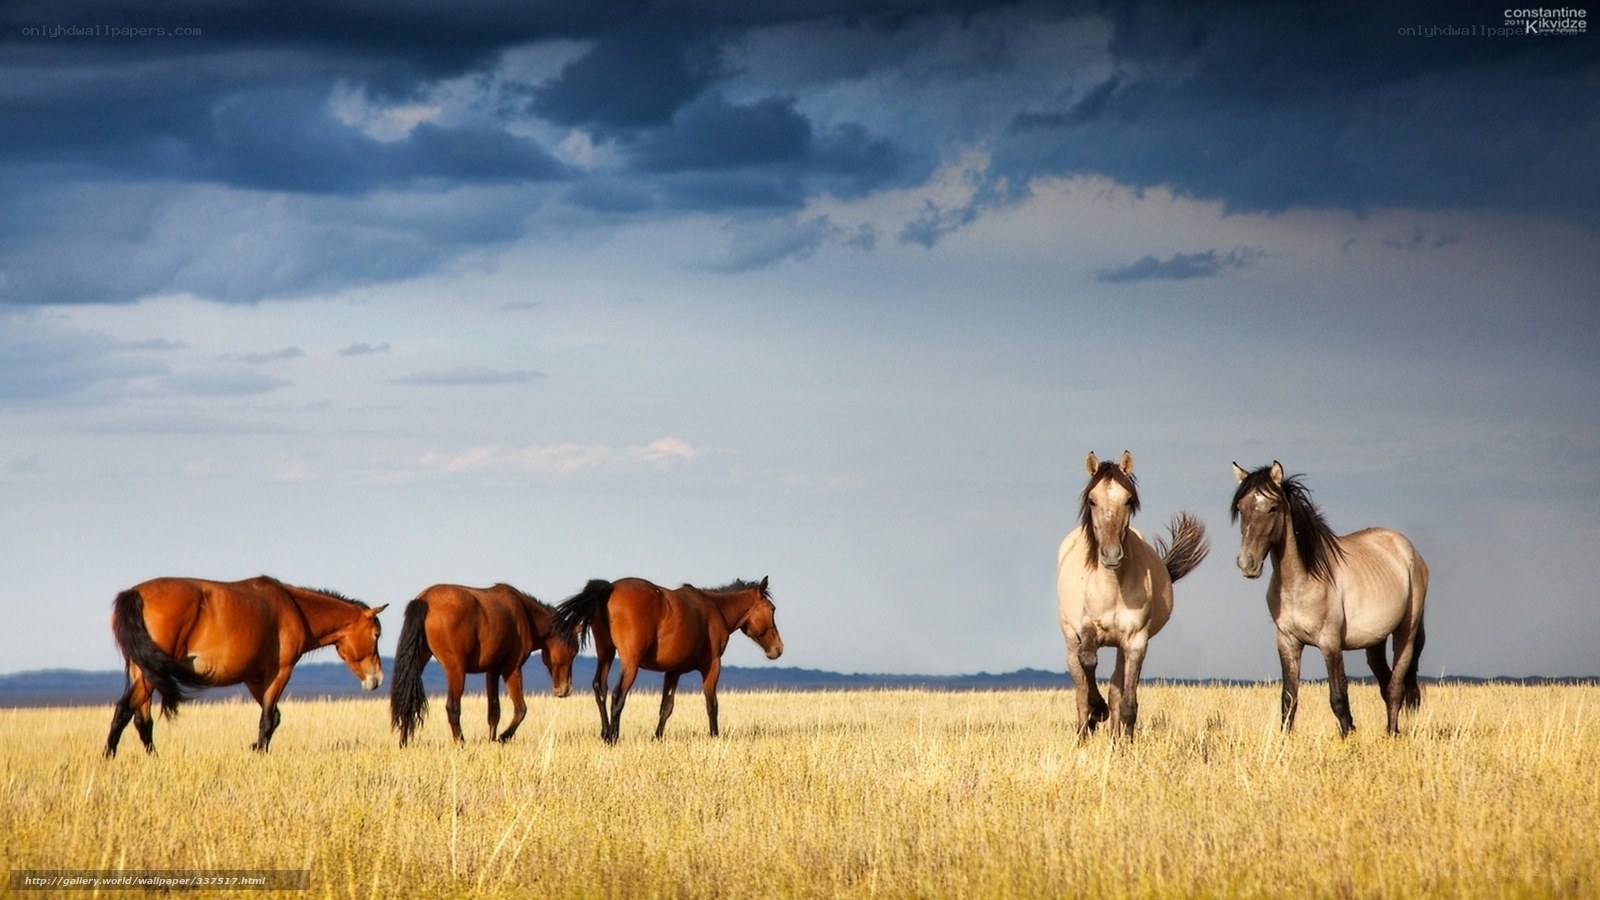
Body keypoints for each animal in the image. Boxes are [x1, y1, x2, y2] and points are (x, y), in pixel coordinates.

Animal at [105, 576, 386, 755]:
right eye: (376, 635)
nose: (377, 679)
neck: (294, 608)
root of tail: (135, 594)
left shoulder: (254, 679)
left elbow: (274, 717)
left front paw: (256, 748)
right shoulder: (280, 673)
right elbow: (268, 719)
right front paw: (260, 752)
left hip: (143, 670)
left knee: (142, 720)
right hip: (149, 674)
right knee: (124, 710)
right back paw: (108, 757)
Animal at [389, 583, 578, 746]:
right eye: (574, 650)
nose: (565, 690)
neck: (525, 614)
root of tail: (425, 599)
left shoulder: (492, 672)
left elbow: (494, 712)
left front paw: (492, 740)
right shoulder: (512, 669)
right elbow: (521, 709)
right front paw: (502, 737)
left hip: (418, 663)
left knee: (407, 701)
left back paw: (403, 743)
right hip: (456, 671)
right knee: (453, 708)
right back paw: (461, 743)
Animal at [552, 577, 783, 743]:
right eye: (772, 609)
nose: (778, 649)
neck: (715, 609)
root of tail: (610, 588)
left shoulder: (673, 671)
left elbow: (666, 707)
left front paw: (657, 737)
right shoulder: (712, 666)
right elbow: (712, 704)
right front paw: (714, 736)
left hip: (606, 653)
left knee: (600, 688)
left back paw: (605, 732)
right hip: (630, 662)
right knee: (618, 695)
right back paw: (613, 737)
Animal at [1057, 451, 1210, 739]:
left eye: (1128, 500)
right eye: (1092, 500)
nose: (1111, 555)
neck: (1112, 587)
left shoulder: (1136, 640)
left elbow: (1127, 701)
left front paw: (1124, 740)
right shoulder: (1087, 628)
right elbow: (1089, 661)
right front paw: (1098, 711)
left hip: (1120, 646)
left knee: (1116, 687)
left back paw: (1113, 736)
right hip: (1071, 638)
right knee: (1080, 686)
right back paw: (1085, 729)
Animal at [1231, 461, 1429, 736]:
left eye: (1272, 507)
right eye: (1241, 508)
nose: (1246, 564)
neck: (1302, 580)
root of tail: (1408, 550)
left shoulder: (1330, 643)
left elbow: (1338, 698)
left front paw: (1349, 736)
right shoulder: (1288, 642)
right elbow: (1288, 699)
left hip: (1405, 634)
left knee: (1395, 688)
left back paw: (1391, 735)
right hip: (1374, 642)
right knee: (1386, 683)